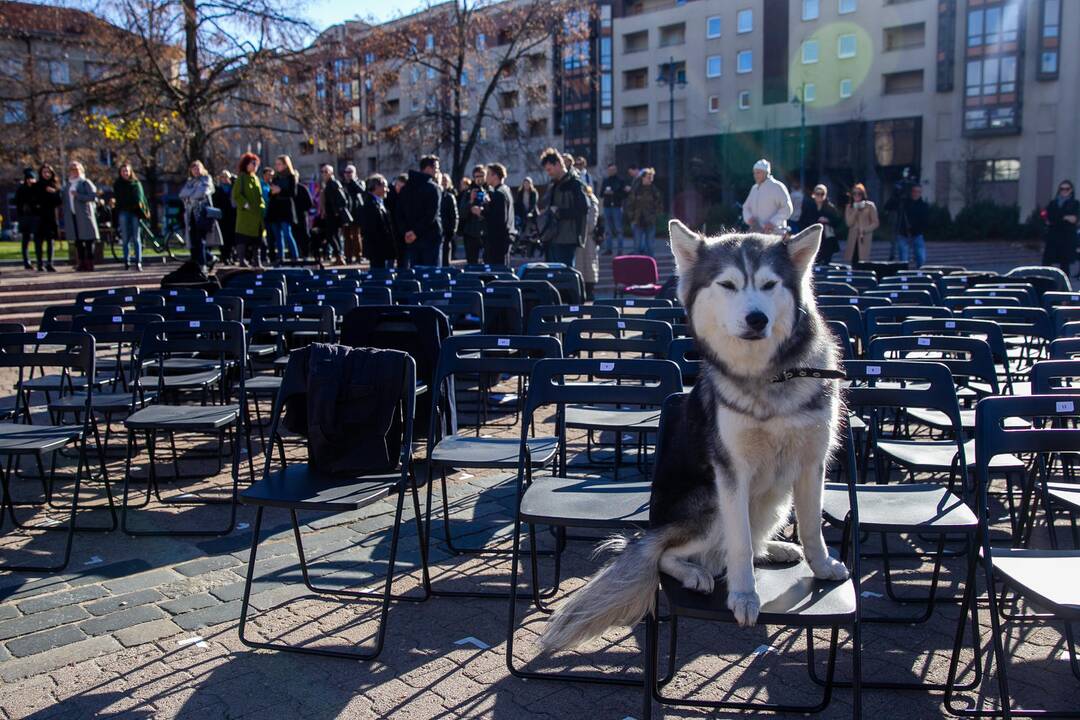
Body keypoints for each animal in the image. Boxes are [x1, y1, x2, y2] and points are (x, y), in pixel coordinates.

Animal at [544, 221, 846, 651]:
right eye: (728, 285)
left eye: (769, 285)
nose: (757, 319)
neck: (767, 378)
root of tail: (654, 528)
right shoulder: (732, 473)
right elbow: (739, 543)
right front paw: (743, 596)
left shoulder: (811, 463)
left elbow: (811, 525)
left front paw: (820, 565)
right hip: (709, 505)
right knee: (668, 554)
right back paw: (694, 571)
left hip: (775, 501)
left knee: (750, 538)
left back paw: (774, 548)